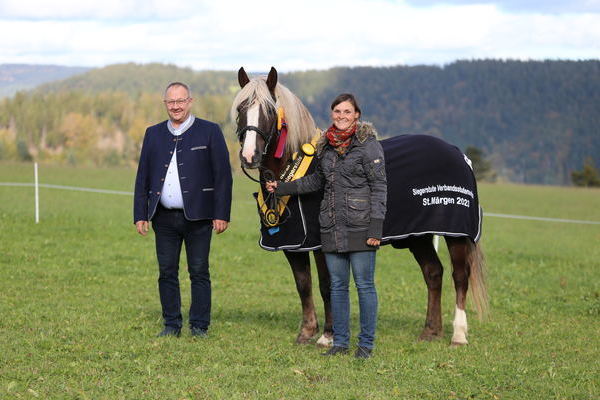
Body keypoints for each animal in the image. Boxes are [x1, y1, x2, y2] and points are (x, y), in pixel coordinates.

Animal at [230, 67, 488, 346]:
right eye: (241, 109)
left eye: (269, 110)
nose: (249, 156)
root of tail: (459, 155)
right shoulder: (293, 244)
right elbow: (303, 284)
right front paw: (306, 332)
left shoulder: (321, 244)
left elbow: (326, 285)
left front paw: (327, 336)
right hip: (417, 235)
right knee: (433, 272)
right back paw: (430, 331)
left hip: (456, 234)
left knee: (460, 276)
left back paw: (458, 334)